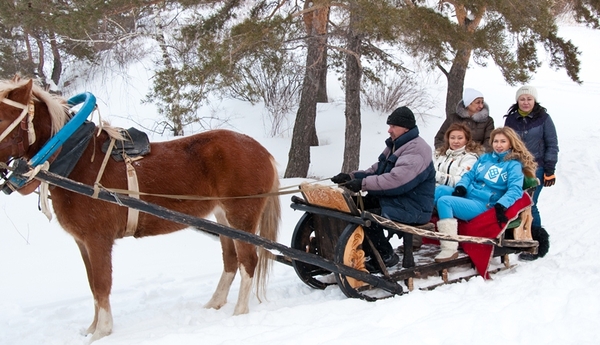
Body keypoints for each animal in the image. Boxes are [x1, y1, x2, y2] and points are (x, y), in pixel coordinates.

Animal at [0, 77, 282, 338]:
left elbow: (101, 284)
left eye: (2, 117)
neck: (77, 162)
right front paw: (92, 329)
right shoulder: (82, 242)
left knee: (248, 261)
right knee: (231, 261)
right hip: (223, 217)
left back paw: (239, 311)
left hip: (241, 217)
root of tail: (262, 151)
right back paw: (215, 303)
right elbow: (92, 285)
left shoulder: (97, 240)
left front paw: (102, 331)